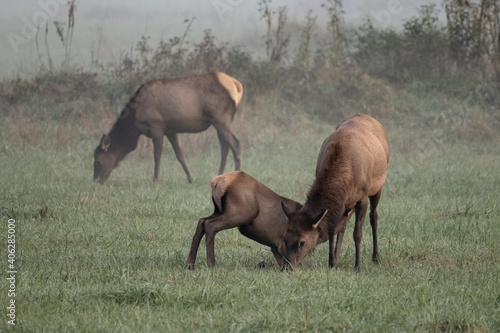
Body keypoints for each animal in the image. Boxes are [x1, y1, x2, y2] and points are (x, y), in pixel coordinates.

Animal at [94, 71, 243, 183]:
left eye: (98, 161)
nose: (96, 180)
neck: (134, 121)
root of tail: (237, 86)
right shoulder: (171, 130)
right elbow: (180, 155)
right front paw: (190, 178)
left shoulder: (157, 126)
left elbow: (157, 155)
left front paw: (156, 179)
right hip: (219, 122)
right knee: (225, 147)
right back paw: (219, 175)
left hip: (221, 118)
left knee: (235, 143)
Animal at [280, 113, 388, 272]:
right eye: (285, 238)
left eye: (302, 242)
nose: (286, 267)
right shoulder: (341, 202)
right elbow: (333, 229)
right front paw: (332, 263)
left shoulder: (362, 196)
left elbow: (357, 233)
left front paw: (357, 267)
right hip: (349, 204)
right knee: (342, 226)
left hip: (377, 188)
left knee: (373, 216)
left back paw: (376, 257)